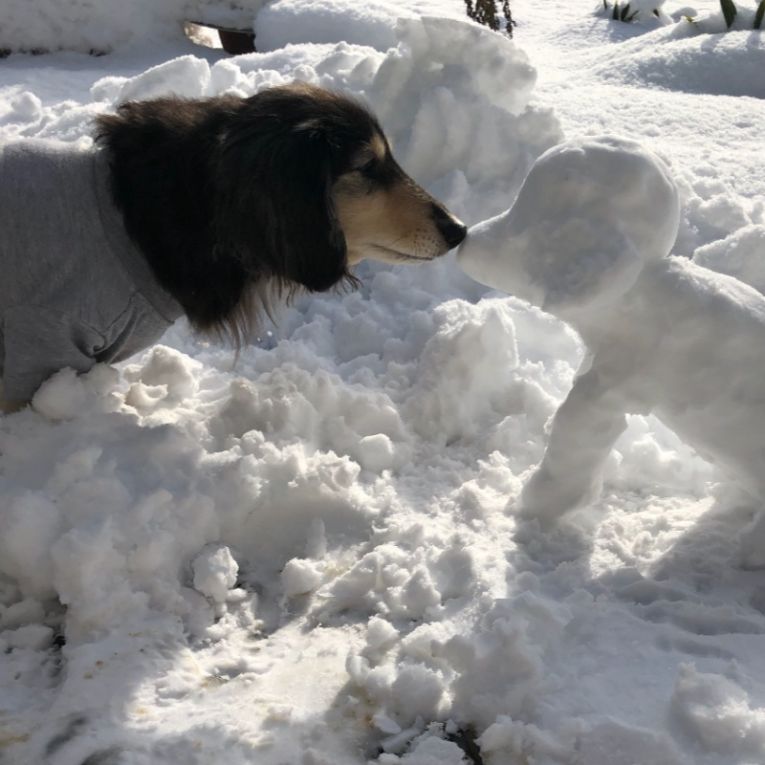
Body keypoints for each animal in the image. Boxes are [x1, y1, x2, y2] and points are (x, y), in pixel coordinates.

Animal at [456, 137, 764, 564]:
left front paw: (532, 508)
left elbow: (573, 441)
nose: (464, 236)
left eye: (524, 224)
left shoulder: (609, 388)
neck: (637, 298)